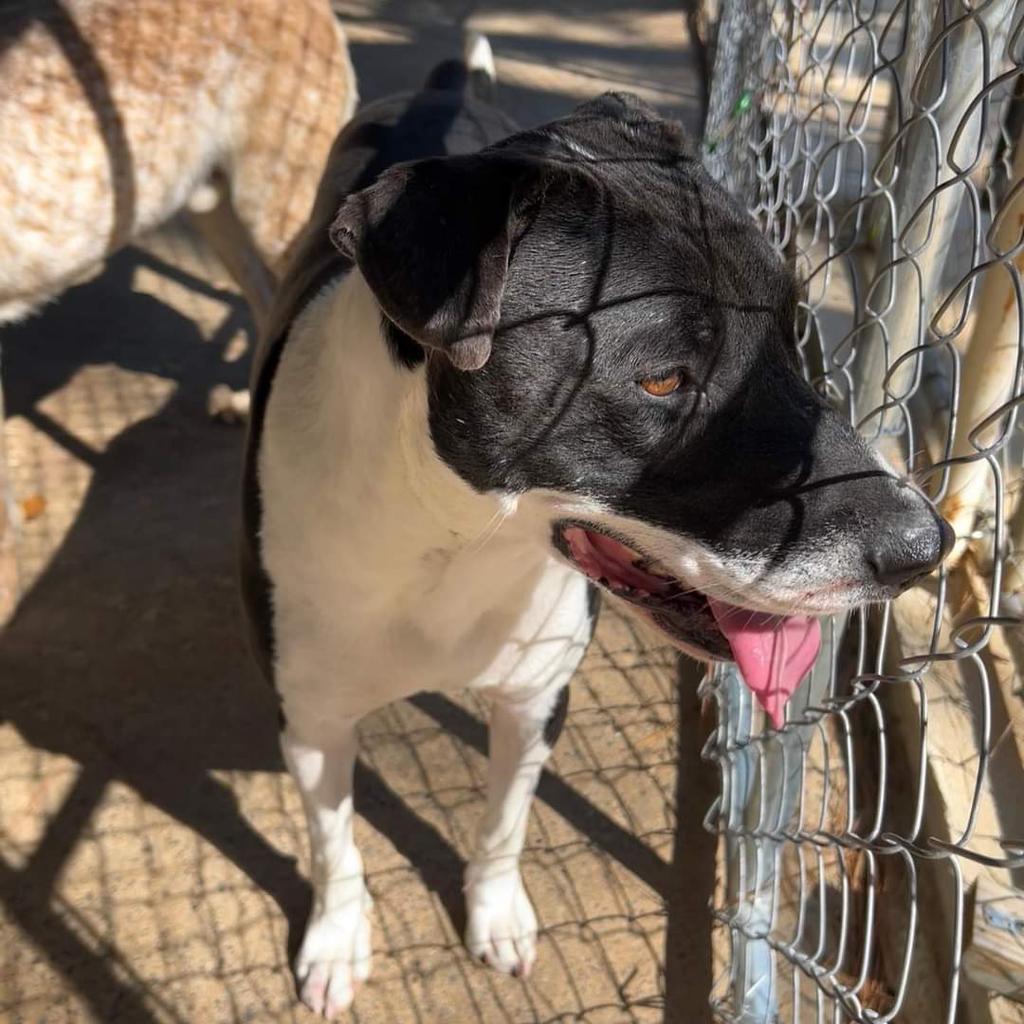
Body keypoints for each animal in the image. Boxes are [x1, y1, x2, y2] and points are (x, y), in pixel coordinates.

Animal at [241, 32, 950, 1015]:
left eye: (792, 330)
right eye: (662, 379)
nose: (925, 547)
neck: (450, 541)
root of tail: (444, 91)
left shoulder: (535, 697)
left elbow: (504, 820)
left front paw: (495, 915)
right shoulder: (311, 717)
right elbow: (333, 841)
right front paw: (336, 942)